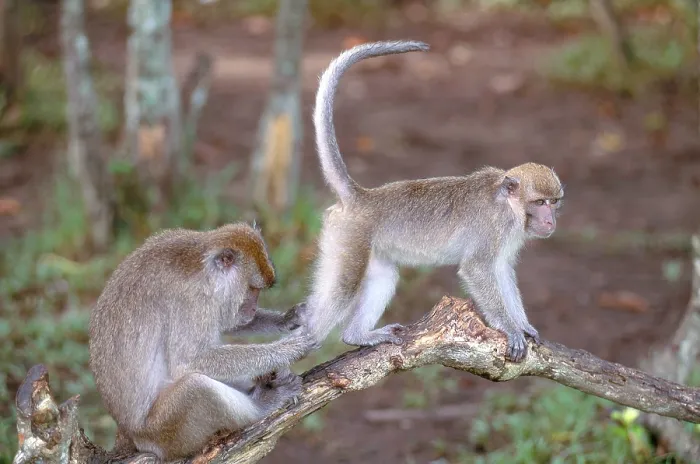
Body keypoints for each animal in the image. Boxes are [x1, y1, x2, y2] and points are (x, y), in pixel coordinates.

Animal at [88, 223, 318, 461]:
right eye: (252, 289)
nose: (253, 309)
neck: (200, 263)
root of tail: (131, 436)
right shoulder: (193, 301)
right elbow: (188, 362)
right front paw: (288, 349)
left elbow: (227, 323)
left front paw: (289, 319)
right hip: (165, 433)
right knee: (197, 388)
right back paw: (263, 403)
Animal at [304, 40, 564, 363]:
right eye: (539, 202)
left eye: (554, 201)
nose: (550, 220)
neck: (509, 205)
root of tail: (360, 197)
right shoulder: (495, 226)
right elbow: (478, 269)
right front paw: (510, 328)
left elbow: (501, 269)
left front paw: (522, 325)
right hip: (348, 237)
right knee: (344, 286)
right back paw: (304, 343)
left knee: (383, 275)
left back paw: (356, 335)